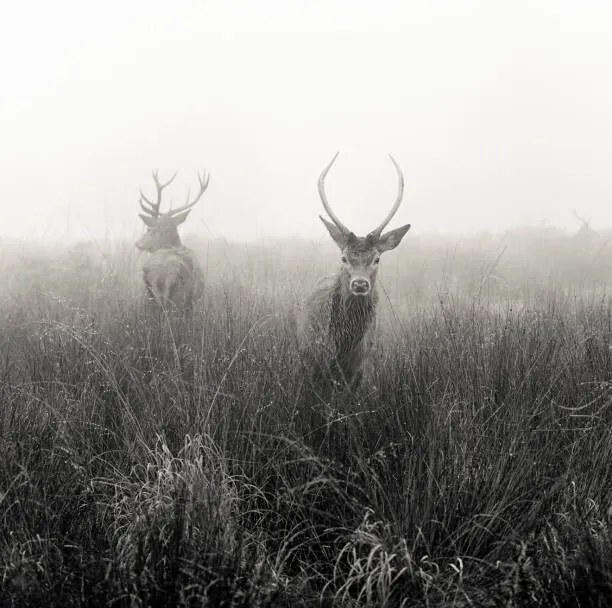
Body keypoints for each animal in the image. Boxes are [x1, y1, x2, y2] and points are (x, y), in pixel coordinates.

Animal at [298, 153, 412, 394]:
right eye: (344, 257)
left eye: (377, 259)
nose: (360, 284)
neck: (343, 346)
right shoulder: (316, 361)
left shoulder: (359, 367)